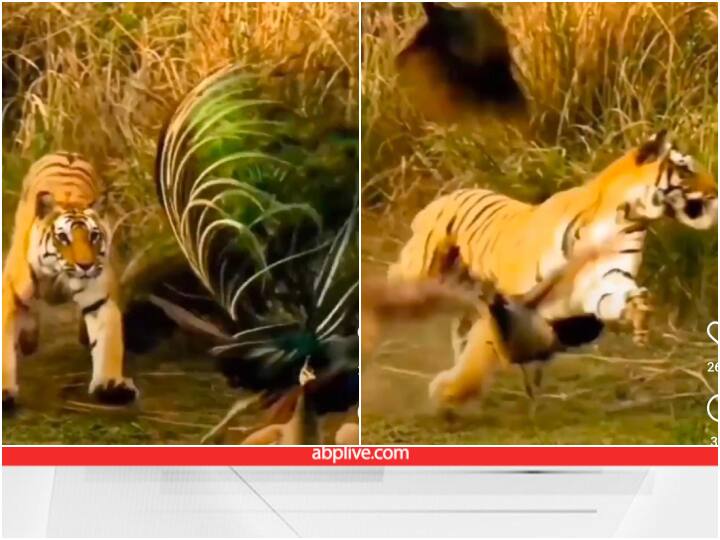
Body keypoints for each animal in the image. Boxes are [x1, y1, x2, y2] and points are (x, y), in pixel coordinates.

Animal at [2, 152, 137, 409]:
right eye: (63, 238)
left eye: (94, 236)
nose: (85, 265)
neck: (59, 274)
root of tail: (66, 154)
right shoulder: (10, 295)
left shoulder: (100, 300)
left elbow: (108, 342)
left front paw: (111, 384)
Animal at [388, 130, 718, 408]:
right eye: (686, 170)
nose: (716, 191)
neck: (625, 216)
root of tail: (448, 194)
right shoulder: (513, 299)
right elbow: (481, 352)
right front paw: (450, 392)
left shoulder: (604, 278)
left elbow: (611, 299)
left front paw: (638, 310)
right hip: (422, 269)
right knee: (395, 278)